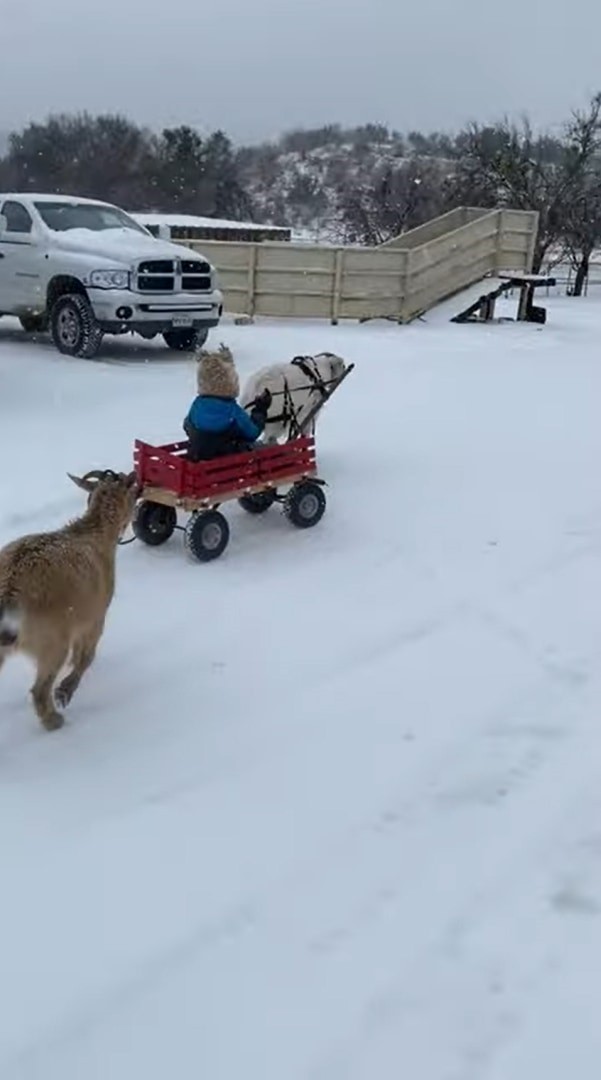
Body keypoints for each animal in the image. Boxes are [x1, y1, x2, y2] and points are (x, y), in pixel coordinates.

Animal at [0, 468, 138, 730]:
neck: (95, 532)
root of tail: (10, 592)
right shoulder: (96, 614)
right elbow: (86, 656)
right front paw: (65, 690)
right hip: (52, 638)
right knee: (40, 689)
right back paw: (54, 720)